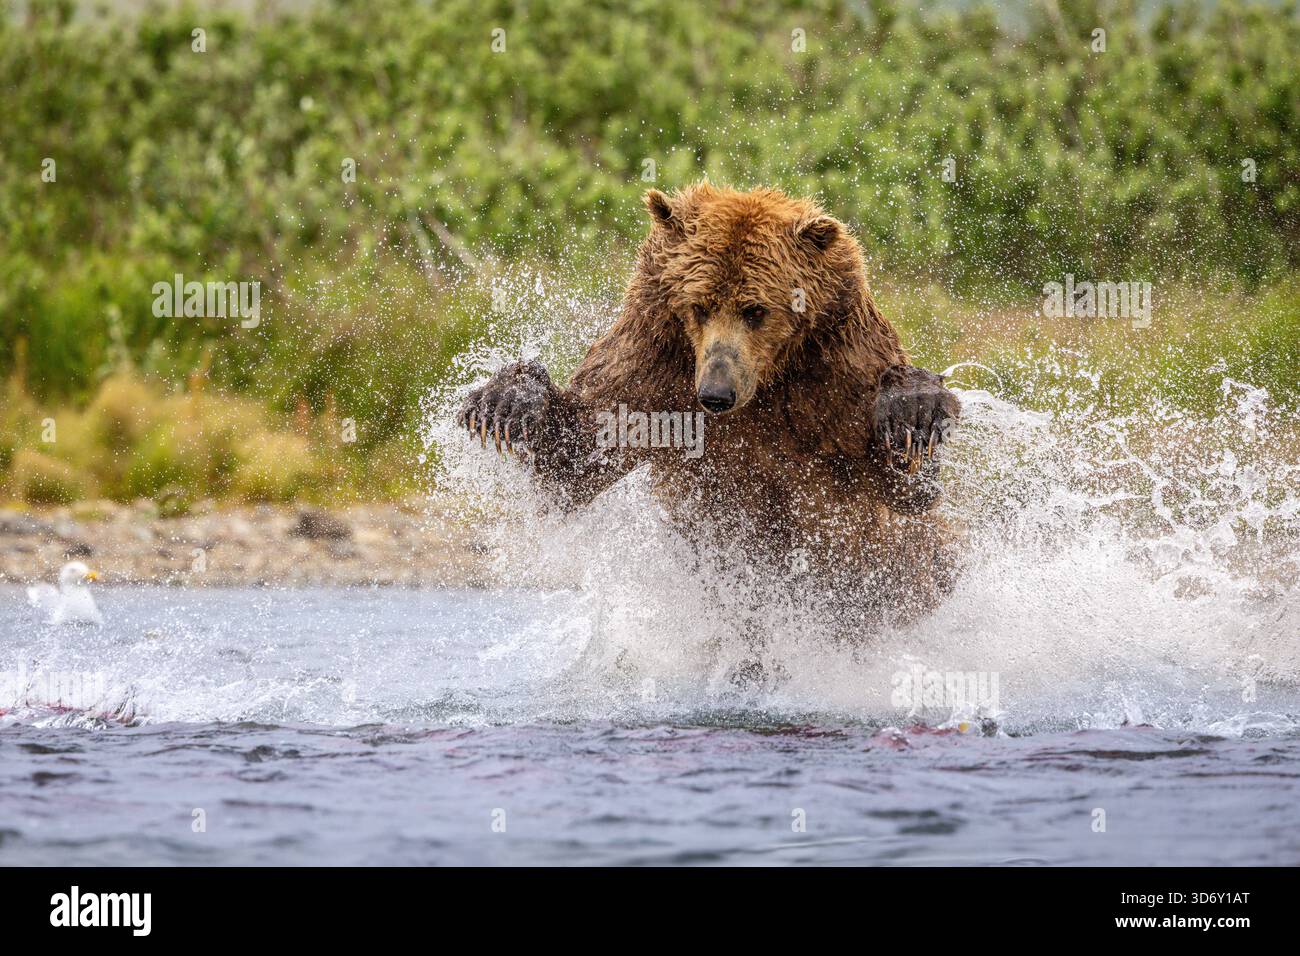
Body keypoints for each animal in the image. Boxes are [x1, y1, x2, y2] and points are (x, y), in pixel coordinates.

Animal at [458, 183, 961, 627]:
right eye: (699, 305)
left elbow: (901, 486)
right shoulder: (654, 359)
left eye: (756, 310)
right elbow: (578, 451)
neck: (770, 382)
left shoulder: (838, 367)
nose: (716, 394)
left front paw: (914, 411)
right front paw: (505, 400)